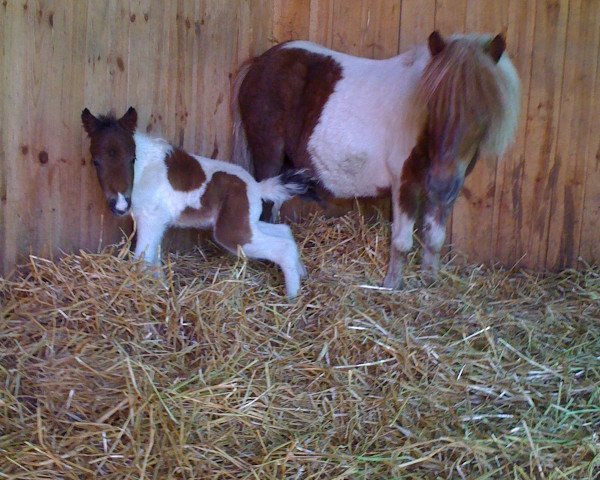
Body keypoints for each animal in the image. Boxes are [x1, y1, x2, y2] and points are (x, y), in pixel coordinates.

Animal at [82, 107, 316, 298]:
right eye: (96, 161)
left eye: (132, 158)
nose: (120, 205)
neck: (145, 170)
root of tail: (257, 187)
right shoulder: (153, 222)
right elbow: (153, 260)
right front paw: (161, 288)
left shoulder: (152, 219)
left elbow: (142, 260)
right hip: (247, 222)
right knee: (284, 231)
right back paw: (302, 274)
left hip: (232, 232)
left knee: (282, 247)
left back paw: (292, 297)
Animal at [232, 31, 516, 286]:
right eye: (431, 105)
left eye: (483, 111)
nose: (440, 184)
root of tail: (261, 61)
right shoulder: (405, 186)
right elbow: (402, 242)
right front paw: (392, 286)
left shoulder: (447, 192)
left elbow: (434, 238)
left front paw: (429, 282)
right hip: (268, 157)